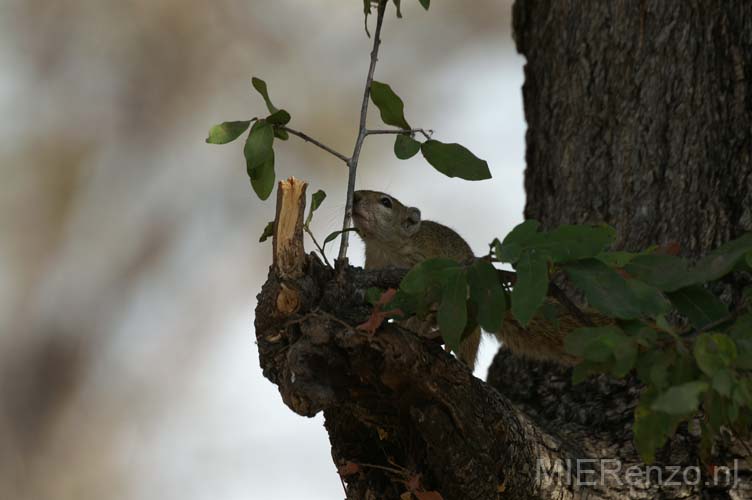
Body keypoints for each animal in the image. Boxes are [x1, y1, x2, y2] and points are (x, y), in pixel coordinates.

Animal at [352, 189, 592, 370]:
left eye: (386, 202)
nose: (355, 196)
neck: (385, 249)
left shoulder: (426, 266)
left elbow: (425, 300)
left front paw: (411, 324)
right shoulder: (374, 267)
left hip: (466, 315)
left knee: (467, 342)